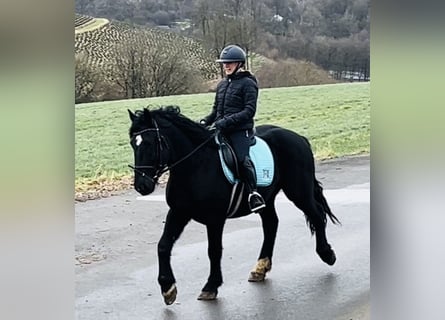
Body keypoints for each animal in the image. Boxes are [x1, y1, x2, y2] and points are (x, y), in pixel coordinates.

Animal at [126, 105, 338, 304]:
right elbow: (163, 246)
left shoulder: (215, 219)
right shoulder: (179, 212)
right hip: (268, 199)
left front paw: (211, 286)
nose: (142, 186)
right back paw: (260, 268)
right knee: (271, 224)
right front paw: (168, 289)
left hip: (298, 192)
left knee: (316, 216)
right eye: (133, 144)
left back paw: (327, 254)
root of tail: (299, 138)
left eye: (151, 143)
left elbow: (213, 251)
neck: (196, 166)